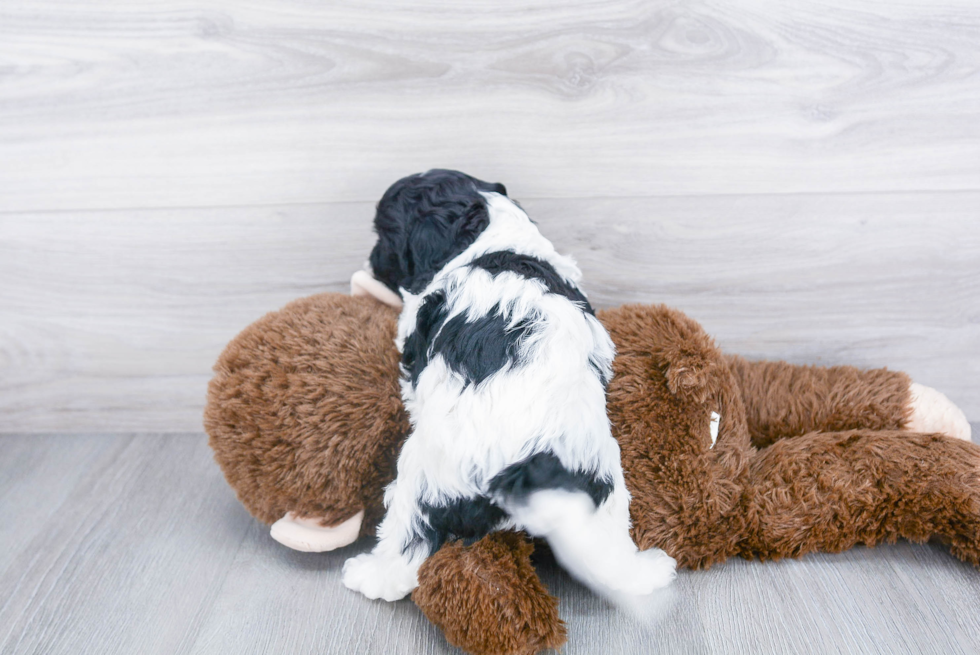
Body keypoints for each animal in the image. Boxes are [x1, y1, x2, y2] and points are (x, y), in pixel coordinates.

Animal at [342, 172, 672, 604]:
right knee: (608, 553)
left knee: (407, 541)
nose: (369, 262)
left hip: (422, 475)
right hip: (601, 485)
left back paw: (370, 574)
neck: (489, 233)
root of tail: (526, 463)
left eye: (384, 235)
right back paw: (646, 574)